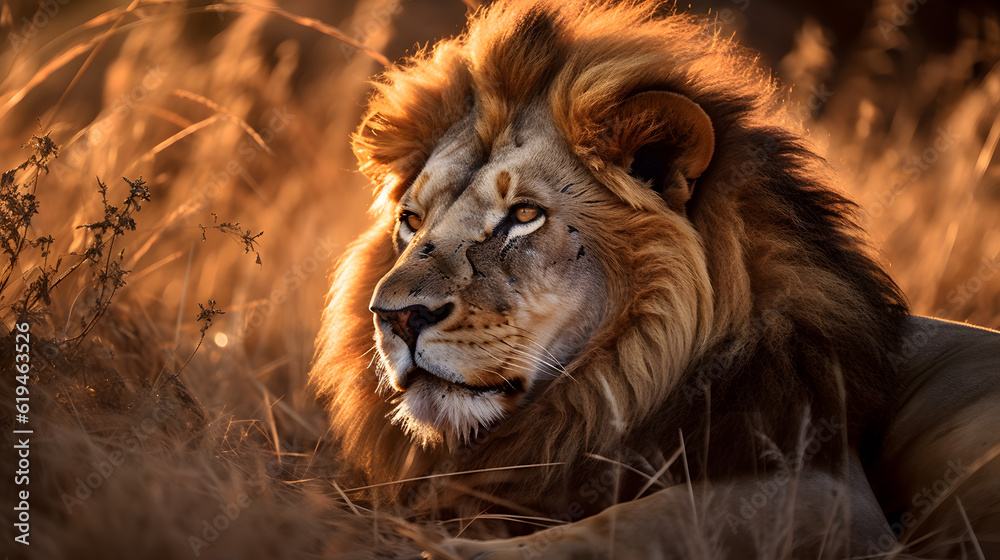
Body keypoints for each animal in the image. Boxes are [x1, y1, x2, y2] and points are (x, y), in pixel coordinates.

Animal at [308, 1, 996, 556]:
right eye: (411, 220)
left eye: (524, 215)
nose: (395, 317)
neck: (615, 379)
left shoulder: (830, 494)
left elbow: (640, 521)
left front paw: (446, 548)